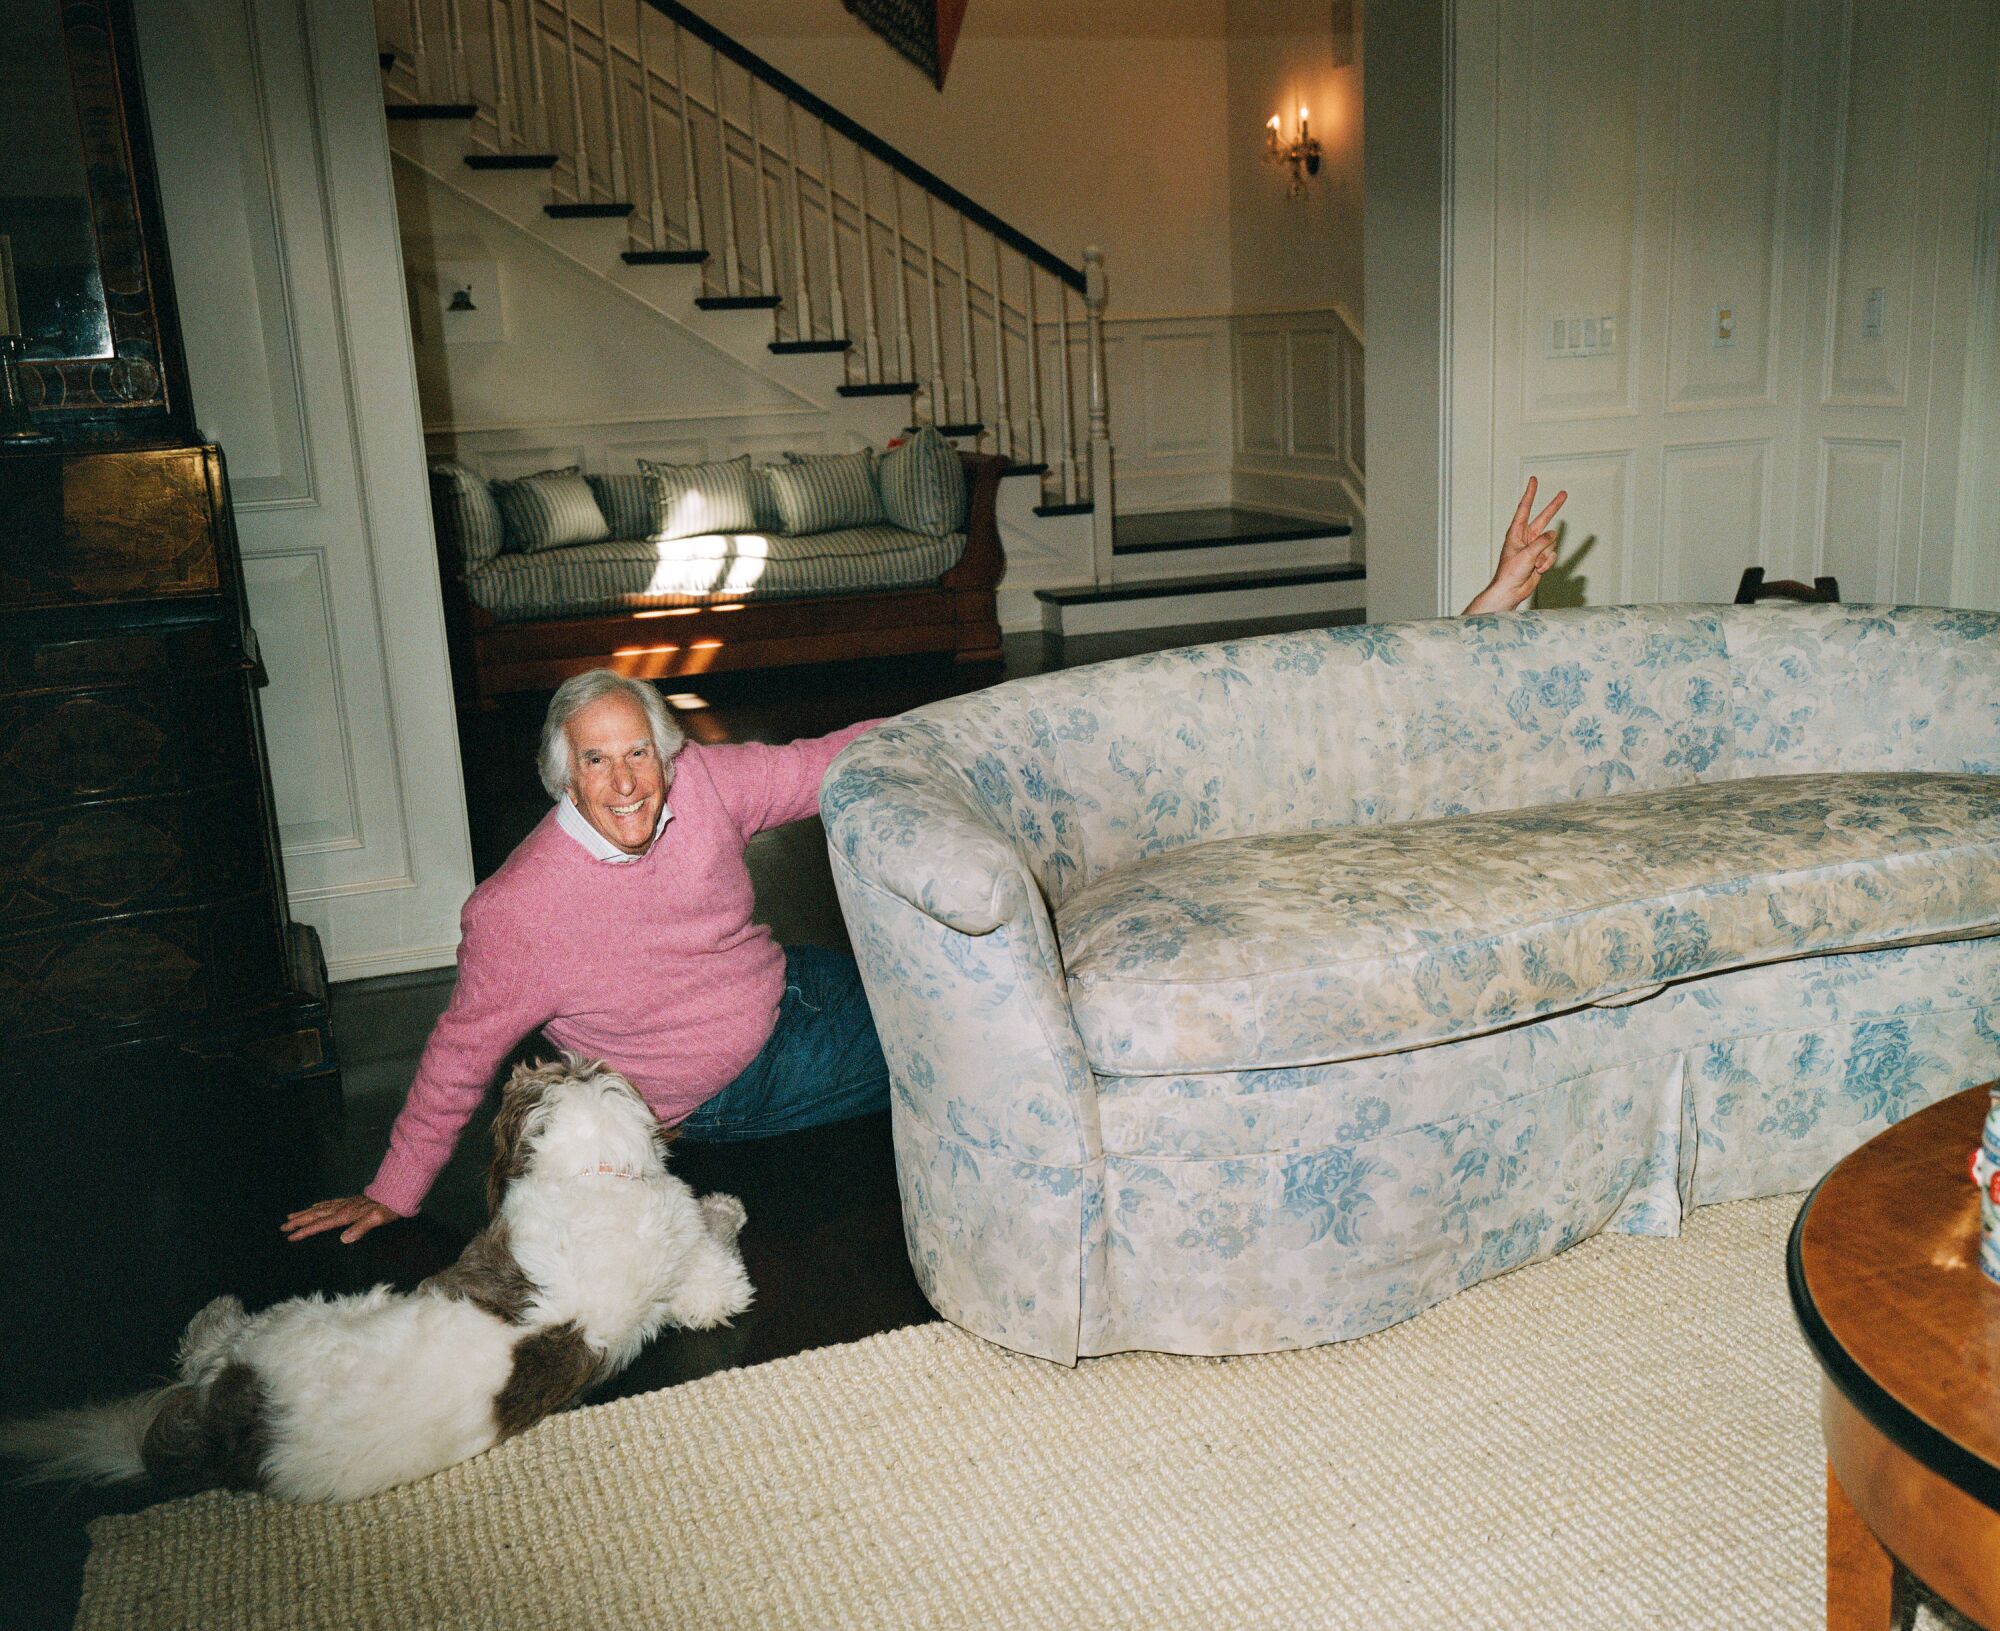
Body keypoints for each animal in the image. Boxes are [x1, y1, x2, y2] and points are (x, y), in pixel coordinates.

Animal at [0, 1055, 752, 1503]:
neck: (598, 1176)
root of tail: (231, 1434)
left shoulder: (696, 1267)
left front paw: (725, 1206)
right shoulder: (693, 1266)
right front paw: (728, 1206)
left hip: (281, 1323)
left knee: (206, 1344)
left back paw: (215, 1309)